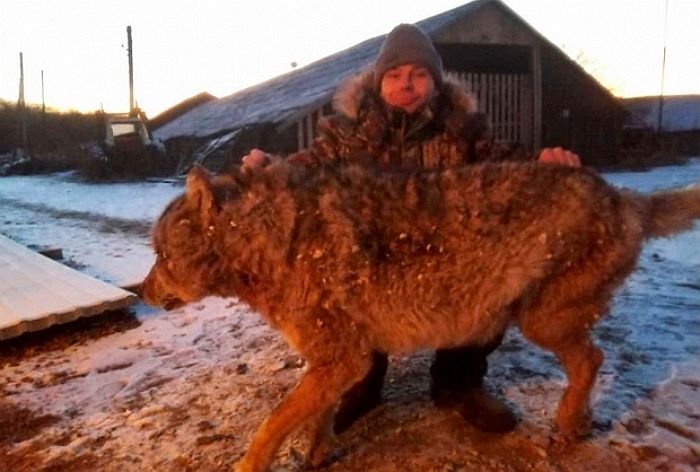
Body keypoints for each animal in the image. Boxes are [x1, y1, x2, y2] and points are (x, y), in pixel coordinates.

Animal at [141, 159, 700, 472]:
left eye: (161, 256)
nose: (141, 291)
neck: (275, 240)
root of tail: (624, 196)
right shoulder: (337, 362)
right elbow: (312, 417)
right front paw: (317, 454)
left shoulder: (339, 359)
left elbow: (272, 423)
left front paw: (249, 464)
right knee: (592, 359)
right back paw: (578, 423)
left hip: (539, 322)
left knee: (592, 359)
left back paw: (566, 425)